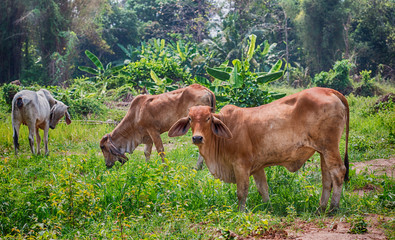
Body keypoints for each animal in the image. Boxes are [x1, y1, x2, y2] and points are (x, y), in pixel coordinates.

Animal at [169, 87, 348, 211]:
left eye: (208, 118)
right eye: (190, 119)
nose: (197, 138)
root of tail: (328, 90)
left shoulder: (241, 165)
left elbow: (242, 191)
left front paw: (241, 212)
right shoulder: (257, 167)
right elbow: (263, 189)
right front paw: (268, 208)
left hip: (330, 147)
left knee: (338, 172)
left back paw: (333, 208)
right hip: (323, 151)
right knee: (327, 178)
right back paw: (321, 208)